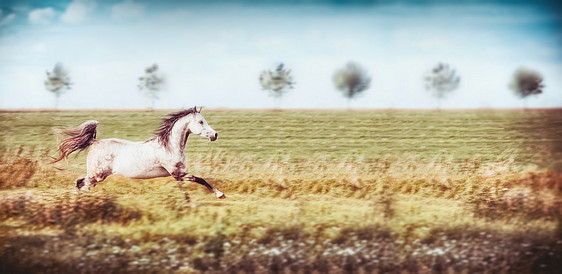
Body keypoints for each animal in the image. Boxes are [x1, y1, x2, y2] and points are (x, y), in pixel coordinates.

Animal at [52, 107, 225, 199]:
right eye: (201, 121)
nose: (215, 134)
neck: (169, 146)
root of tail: (95, 142)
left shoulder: (179, 175)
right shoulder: (178, 173)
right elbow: (201, 179)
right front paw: (220, 194)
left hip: (96, 177)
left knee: (81, 184)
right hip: (96, 175)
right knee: (80, 183)